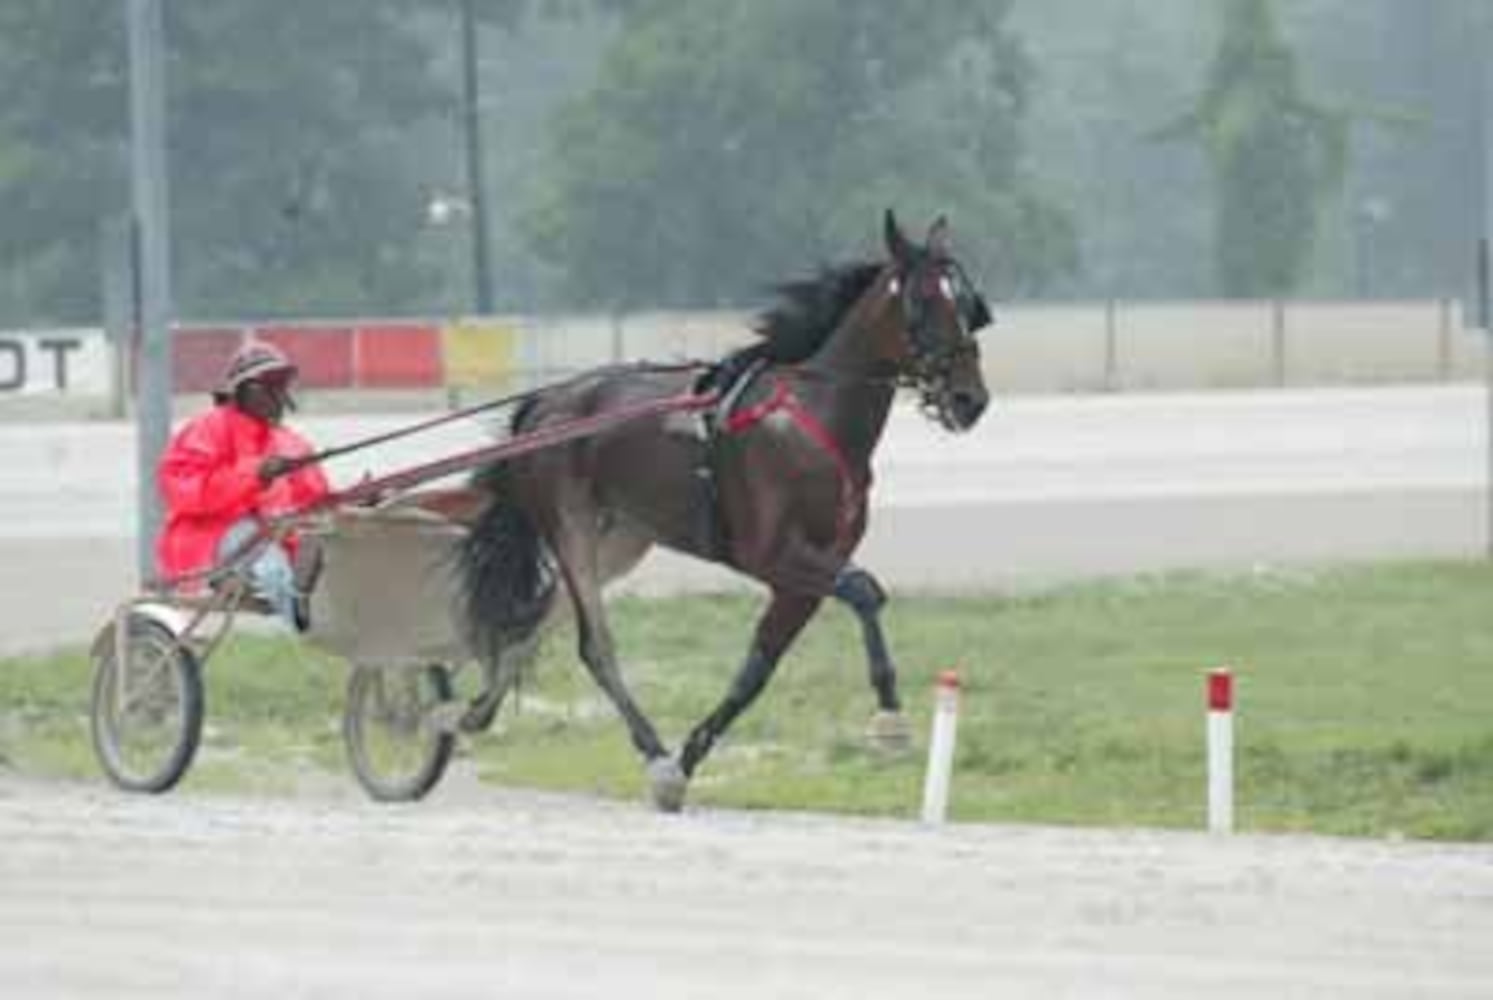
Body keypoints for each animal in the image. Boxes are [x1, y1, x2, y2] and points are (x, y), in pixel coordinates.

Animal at [453, 207, 991, 811]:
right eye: (922, 300)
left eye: (966, 301)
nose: (970, 399)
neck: (809, 417)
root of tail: (548, 403)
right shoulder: (770, 553)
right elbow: (864, 590)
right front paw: (890, 714)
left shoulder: (807, 571)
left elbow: (757, 669)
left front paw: (690, 757)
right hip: (569, 526)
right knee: (594, 644)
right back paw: (649, 749)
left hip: (619, 538)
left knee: (537, 622)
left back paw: (477, 712)